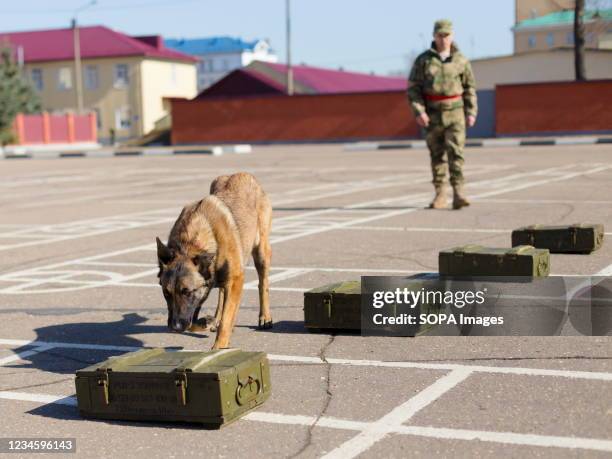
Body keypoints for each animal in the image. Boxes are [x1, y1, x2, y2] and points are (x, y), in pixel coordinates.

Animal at [155, 172, 272, 348]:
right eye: (166, 293)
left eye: (187, 292)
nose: (175, 327)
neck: (191, 244)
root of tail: (242, 174)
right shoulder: (204, 289)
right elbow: (195, 321)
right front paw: (207, 322)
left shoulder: (236, 280)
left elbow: (226, 320)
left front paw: (219, 346)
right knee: (222, 295)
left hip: (261, 253)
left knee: (262, 284)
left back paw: (265, 317)